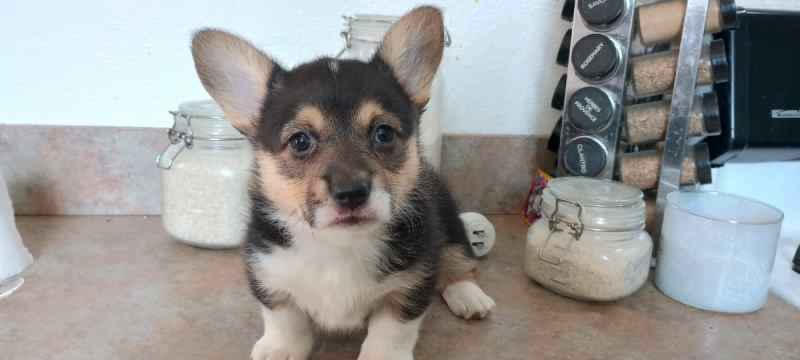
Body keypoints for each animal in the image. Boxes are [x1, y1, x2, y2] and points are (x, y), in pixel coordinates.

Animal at [192, 6, 494, 360]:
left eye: (383, 133)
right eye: (300, 141)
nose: (351, 194)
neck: (338, 246)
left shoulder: (411, 283)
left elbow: (391, 331)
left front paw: (383, 355)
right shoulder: (267, 272)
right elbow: (284, 316)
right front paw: (280, 348)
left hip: (448, 219)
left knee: (459, 259)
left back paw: (469, 295)